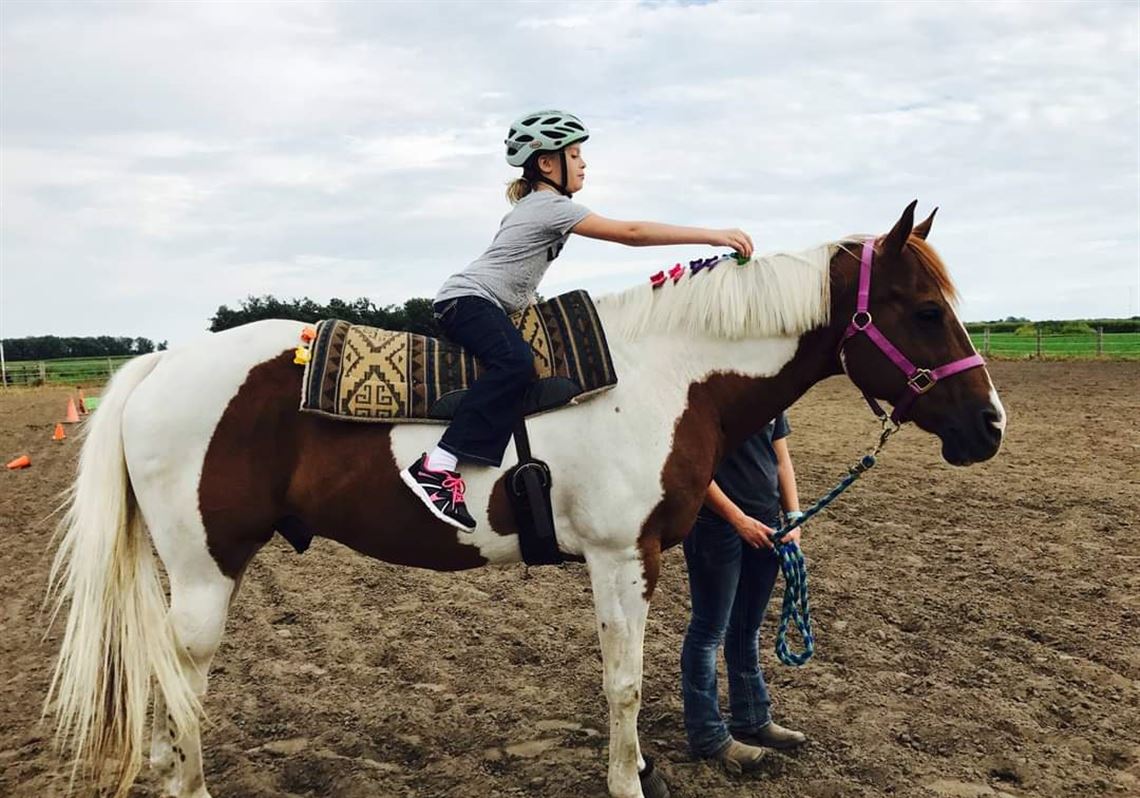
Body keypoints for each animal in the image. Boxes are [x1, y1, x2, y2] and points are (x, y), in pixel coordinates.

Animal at [44, 202, 1005, 798]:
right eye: (925, 310)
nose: (989, 427)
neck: (665, 373)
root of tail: (163, 365)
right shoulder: (623, 558)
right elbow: (624, 681)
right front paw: (628, 779)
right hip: (207, 572)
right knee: (182, 682)